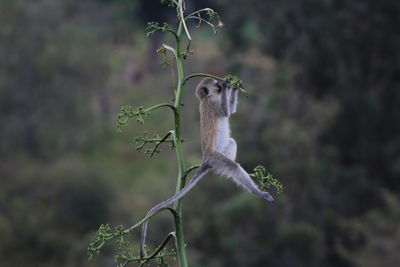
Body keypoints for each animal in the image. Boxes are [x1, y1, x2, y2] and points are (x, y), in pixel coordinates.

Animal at [139, 78, 274, 260]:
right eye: (215, 84)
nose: (220, 85)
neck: (206, 98)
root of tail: (206, 159)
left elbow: (232, 111)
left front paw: (233, 85)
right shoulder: (213, 103)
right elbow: (226, 112)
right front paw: (227, 85)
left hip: (219, 154)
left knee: (231, 143)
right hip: (216, 158)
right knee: (232, 166)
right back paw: (257, 192)